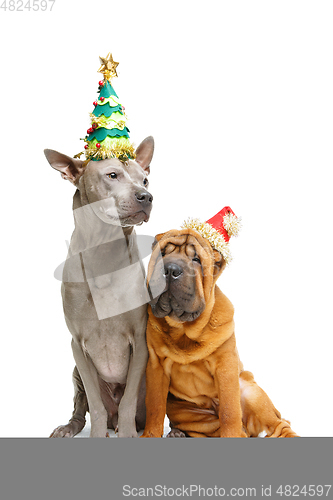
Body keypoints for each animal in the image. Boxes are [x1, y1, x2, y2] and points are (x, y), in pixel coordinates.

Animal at [44, 135, 154, 436]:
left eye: (145, 180)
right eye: (112, 175)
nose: (146, 196)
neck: (104, 253)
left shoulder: (140, 340)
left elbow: (128, 401)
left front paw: (128, 434)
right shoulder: (77, 345)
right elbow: (95, 403)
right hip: (75, 373)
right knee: (83, 408)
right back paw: (72, 427)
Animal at [140, 228, 296, 438]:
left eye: (196, 259)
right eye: (162, 254)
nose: (171, 269)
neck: (184, 330)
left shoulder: (225, 366)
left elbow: (230, 411)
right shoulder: (156, 367)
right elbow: (155, 406)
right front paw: (150, 435)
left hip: (252, 393)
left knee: (279, 425)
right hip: (185, 411)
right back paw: (177, 433)